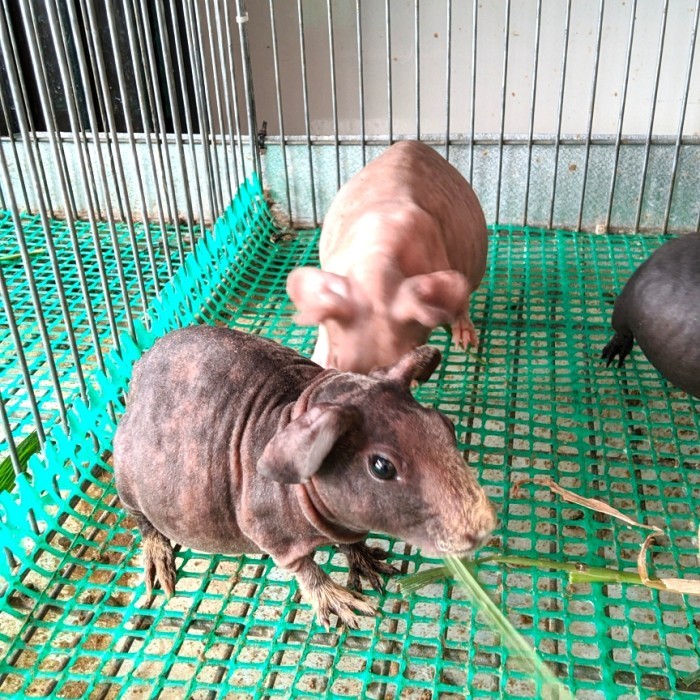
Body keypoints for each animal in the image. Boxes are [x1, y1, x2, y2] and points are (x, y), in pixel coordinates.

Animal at [113, 326, 496, 629]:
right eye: (382, 467)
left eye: (445, 425)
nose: (485, 526)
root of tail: (136, 377)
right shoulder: (267, 530)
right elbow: (305, 569)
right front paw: (340, 602)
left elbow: (349, 541)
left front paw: (366, 559)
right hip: (128, 486)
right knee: (143, 523)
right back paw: (157, 559)